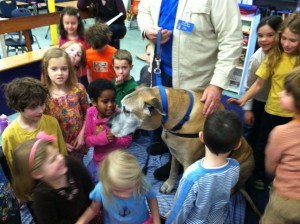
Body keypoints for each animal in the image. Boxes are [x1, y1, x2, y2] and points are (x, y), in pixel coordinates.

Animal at [108, 86, 260, 216]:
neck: (178, 115)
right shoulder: (175, 152)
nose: (108, 123)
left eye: (127, 111)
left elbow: (181, 193)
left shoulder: (189, 164)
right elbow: (173, 170)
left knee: (233, 189)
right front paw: (169, 184)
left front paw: (172, 212)